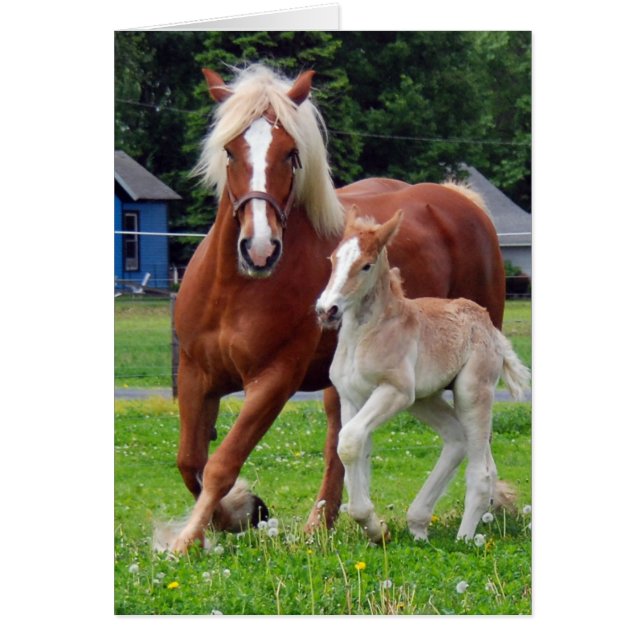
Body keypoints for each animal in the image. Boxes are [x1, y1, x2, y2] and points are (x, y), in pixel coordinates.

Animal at [169, 64, 506, 551]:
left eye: (291, 153)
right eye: (230, 151)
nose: (259, 249)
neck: (234, 292)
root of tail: (461, 201)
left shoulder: (273, 381)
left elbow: (221, 463)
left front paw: (188, 539)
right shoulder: (196, 375)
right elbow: (190, 462)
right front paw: (238, 513)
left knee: (473, 440)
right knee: (339, 440)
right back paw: (322, 522)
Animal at [316, 206, 530, 542]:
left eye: (366, 265)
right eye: (334, 258)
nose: (327, 310)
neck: (365, 334)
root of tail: (487, 324)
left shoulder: (394, 391)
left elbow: (349, 442)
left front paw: (372, 525)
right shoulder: (351, 398)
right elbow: (354, 449)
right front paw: (375, 529)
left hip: (470, 393)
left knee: (481, 471)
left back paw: (464, 539)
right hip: (426, 400)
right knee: (458, 440)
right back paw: (418, 524)